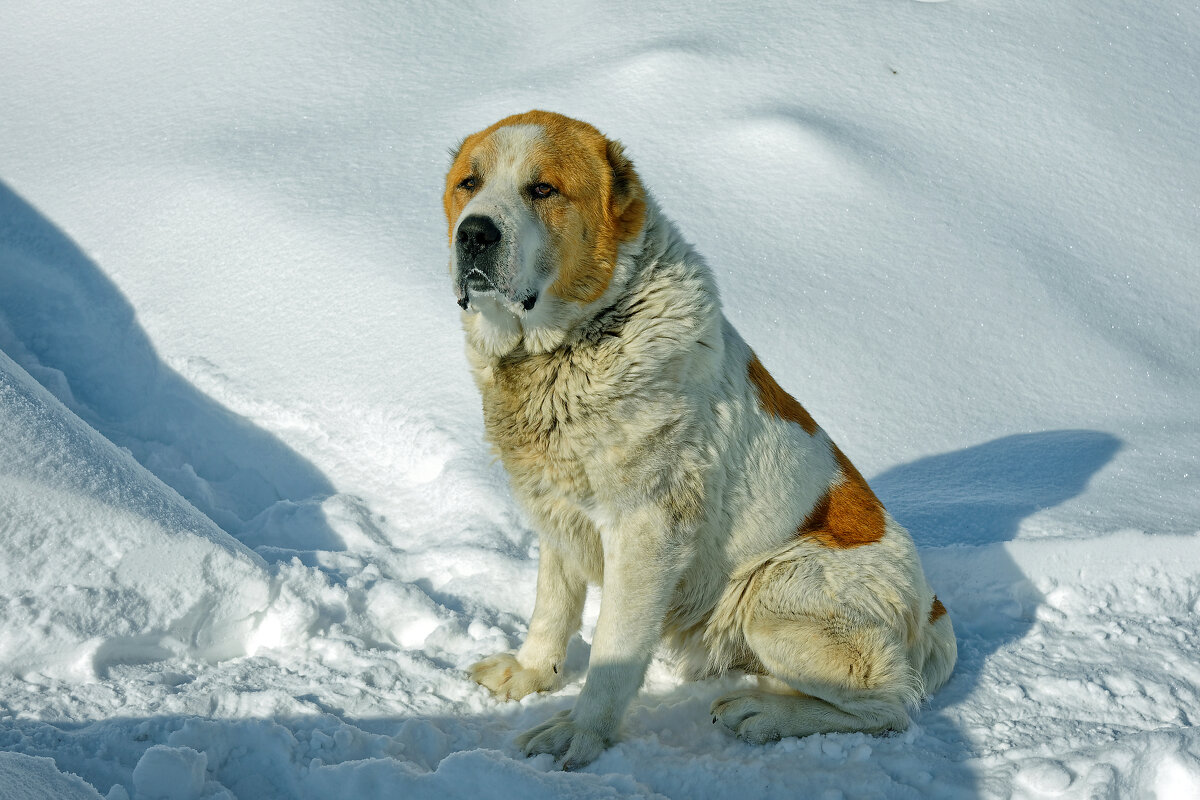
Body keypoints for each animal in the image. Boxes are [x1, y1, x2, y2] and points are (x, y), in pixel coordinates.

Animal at [441, 109, 955, 767]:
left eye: (542, 189)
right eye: (469, 183)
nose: (475, 234)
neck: (575, 341)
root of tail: (933, 610)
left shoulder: (645, 532)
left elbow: (613, 650)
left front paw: (580, 735)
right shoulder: (557, 509)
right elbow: (552, 606)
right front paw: (531, 675)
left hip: (775, 593)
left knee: (887, 706)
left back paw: (762, 712)